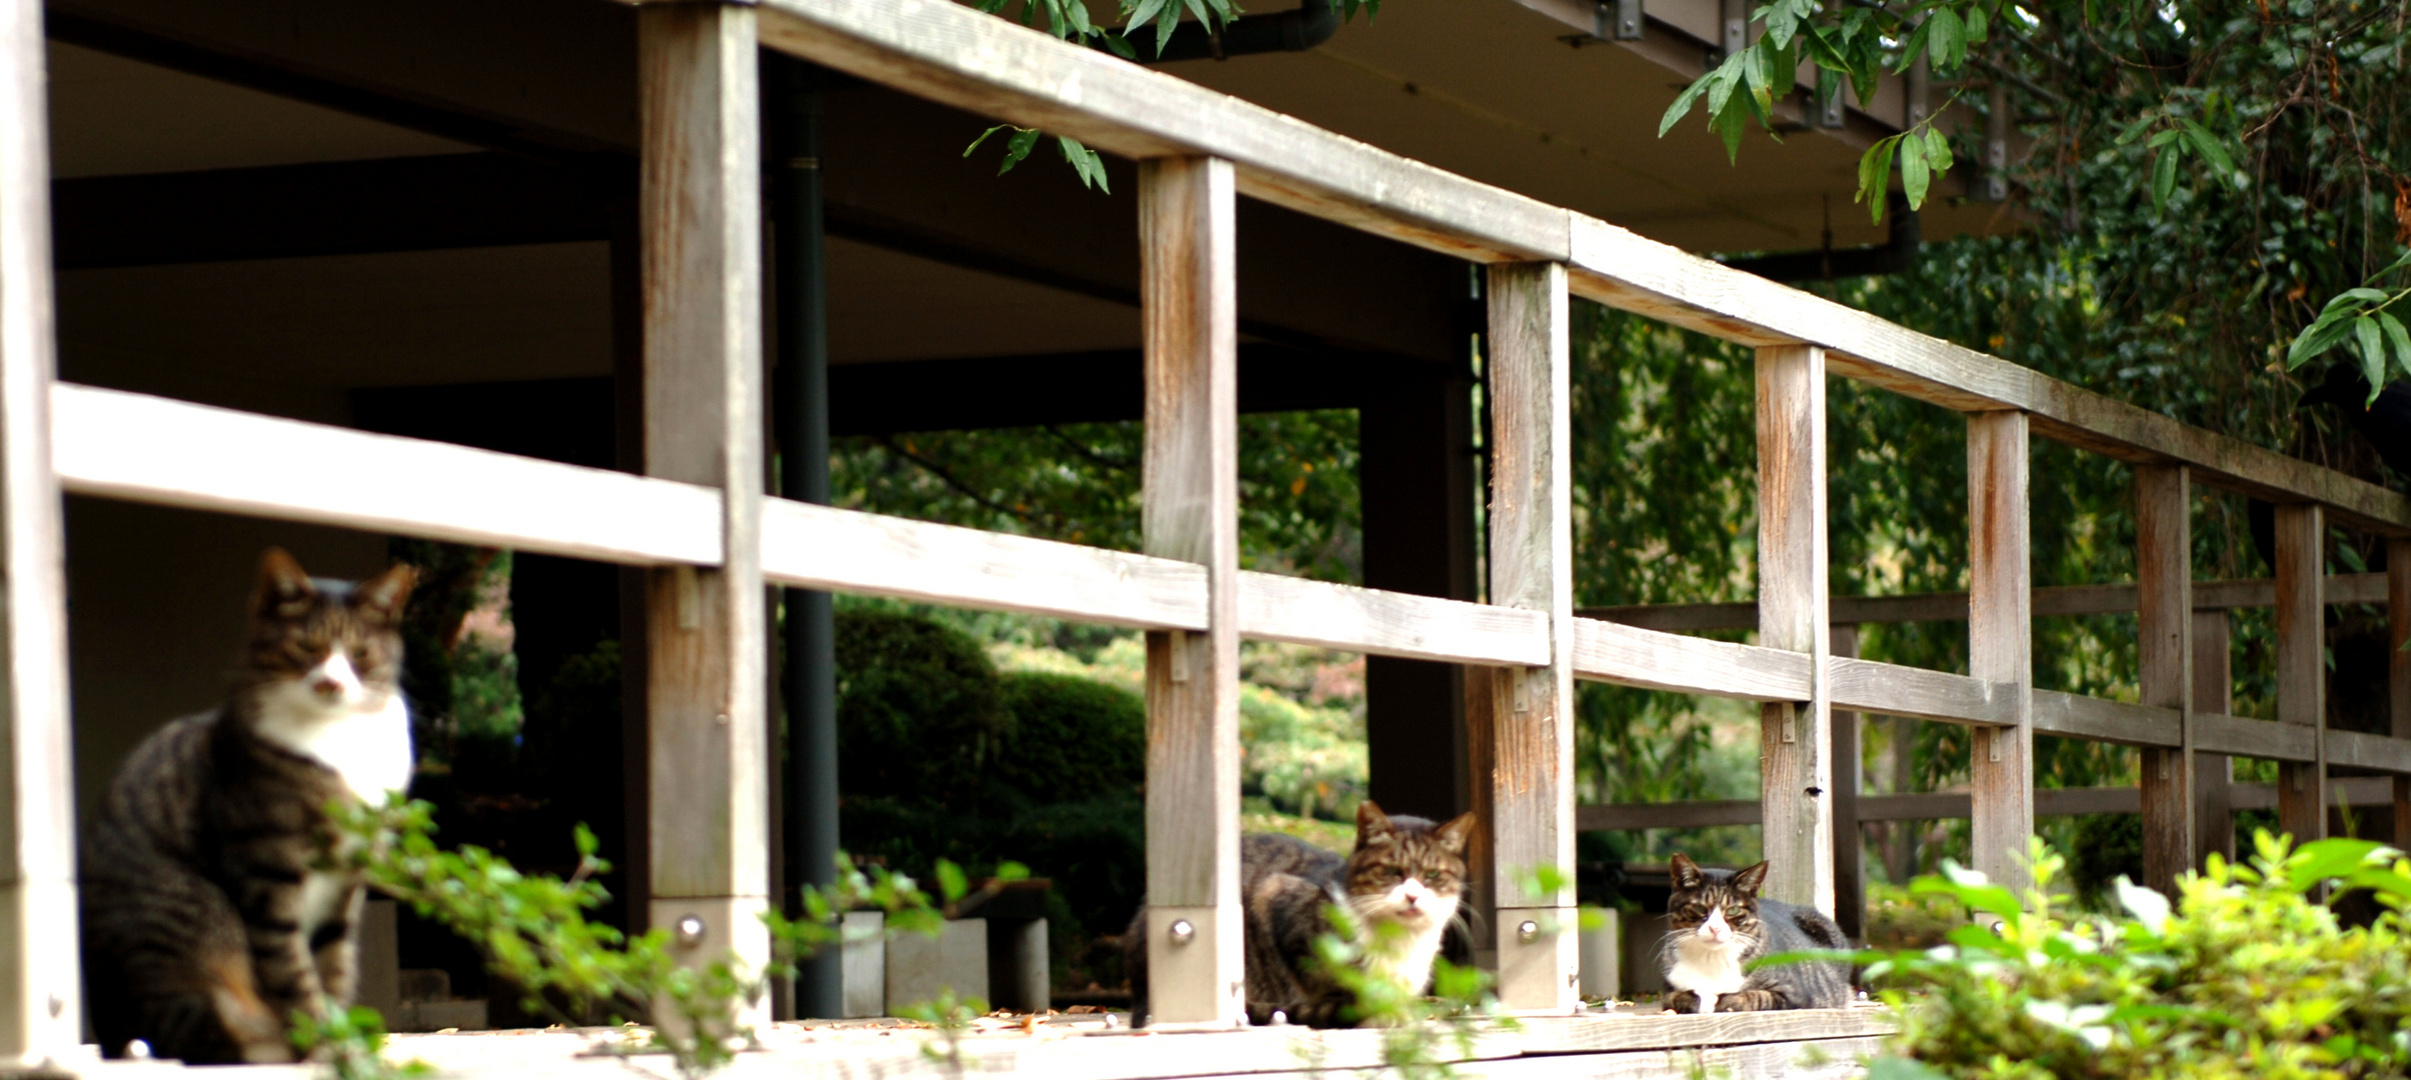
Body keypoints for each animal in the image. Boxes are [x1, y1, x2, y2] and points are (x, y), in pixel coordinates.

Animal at [78, 549, 419, 1060]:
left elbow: (333, 965)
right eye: (306, 647)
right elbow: (292, 968)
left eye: (360, 653)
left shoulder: (347, 882)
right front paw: (326, 1047)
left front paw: (342, 1044)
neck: (338, 736)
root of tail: (113, 1037)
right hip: (199, 925)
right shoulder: (267, 872)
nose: (333, 684)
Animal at [1123, 800, 1475, 1031]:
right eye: (1391, 871)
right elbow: (1339, 982)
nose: (1413, 895)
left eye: (1432, 875)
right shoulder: (1276, 897)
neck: (1400, 941)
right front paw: (1373, 1013)